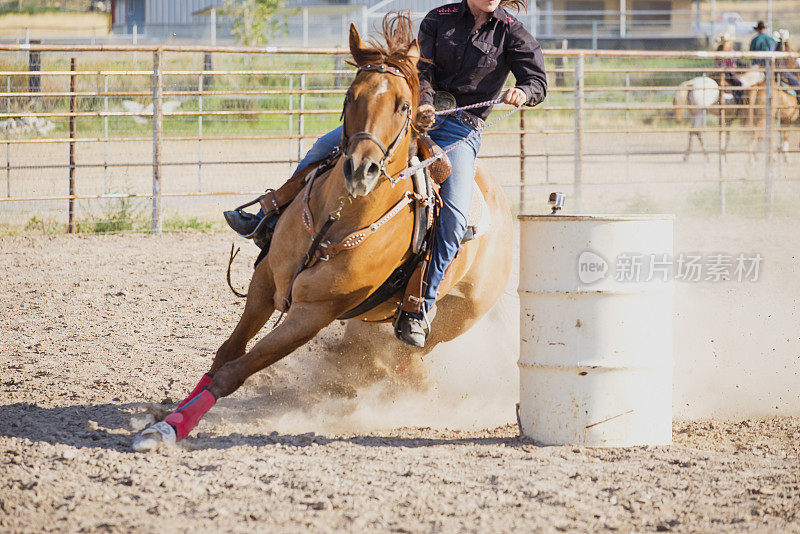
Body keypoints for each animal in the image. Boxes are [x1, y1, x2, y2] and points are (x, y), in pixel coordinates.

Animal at [133, 15, 512, 452]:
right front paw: (165, 415)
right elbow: (226, 354)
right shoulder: (265, 283)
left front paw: (170, 428)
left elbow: (235, 371)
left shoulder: (311, 314)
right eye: (350, 95)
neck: (339, 219)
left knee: (408, 357)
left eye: (403, 105)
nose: (361, 170)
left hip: (456, 318)